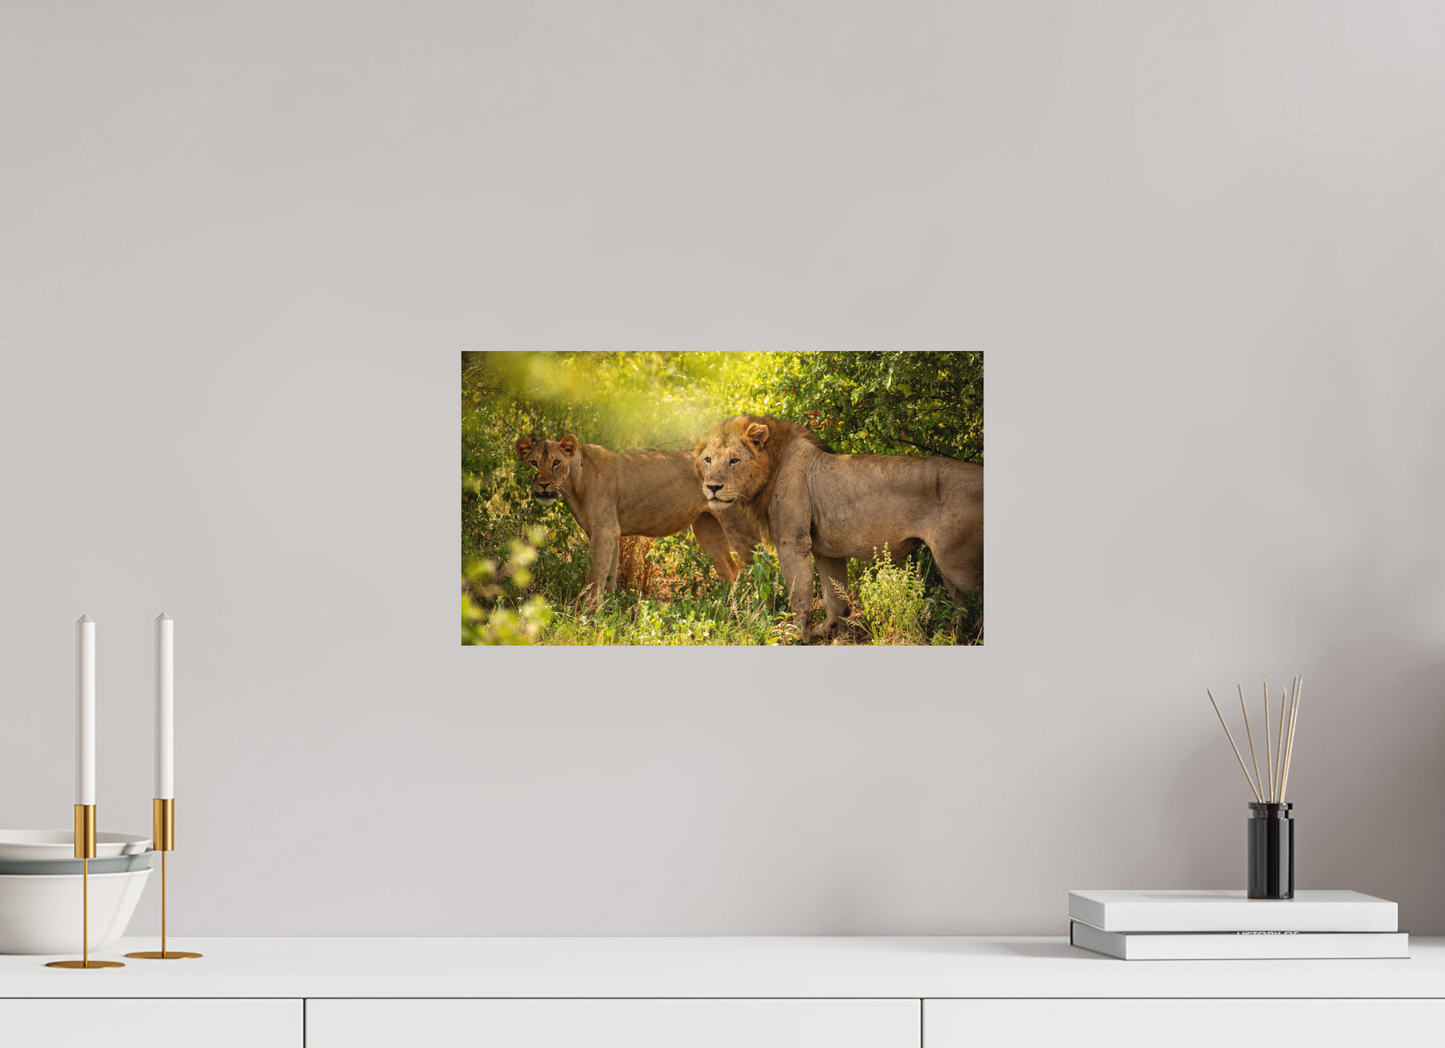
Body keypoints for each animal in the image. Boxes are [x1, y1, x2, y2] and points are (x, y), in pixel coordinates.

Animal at [515, 435, 759, 606]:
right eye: (534, 463)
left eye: (556, 462)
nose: (543, 485)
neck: (573, 483)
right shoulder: (607, 533)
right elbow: (608, 578)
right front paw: (608, 611)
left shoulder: (605, 530)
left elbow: (593, 578)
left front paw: (584, 615)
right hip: (706, 529)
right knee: (730, 568)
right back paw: (726, 606)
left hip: (741, 530)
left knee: (761, 564)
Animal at [694, 415, 983, 642]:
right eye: (708, 460)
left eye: (734, 461)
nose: (712, 487)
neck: (772, 465)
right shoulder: (827, 550)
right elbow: (835, 597)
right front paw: (831, 631)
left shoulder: (793, 542)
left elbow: (799, 593)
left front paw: (795, 634)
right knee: (961, 606)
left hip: (955, 562)